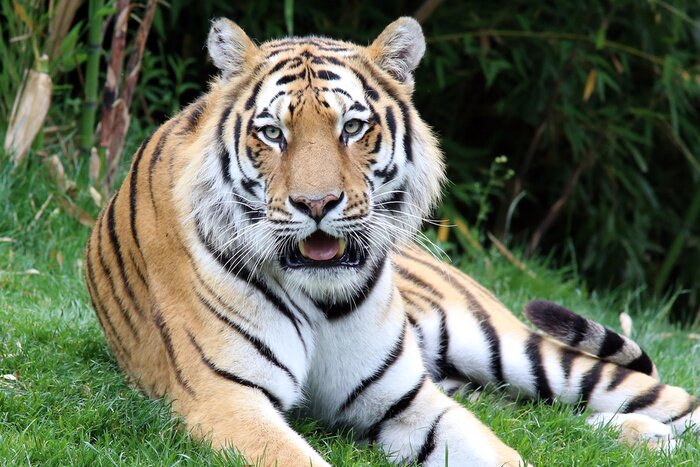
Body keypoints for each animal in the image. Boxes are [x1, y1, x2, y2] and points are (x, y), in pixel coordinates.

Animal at [85, 16, 699, 466]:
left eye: (352, 128)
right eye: (272, 133)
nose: (316, 205)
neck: (321, 299)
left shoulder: (410, 400)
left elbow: (502, 455)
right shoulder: (228, 398)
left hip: (515, 349)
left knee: (669, 399)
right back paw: (636, 435)